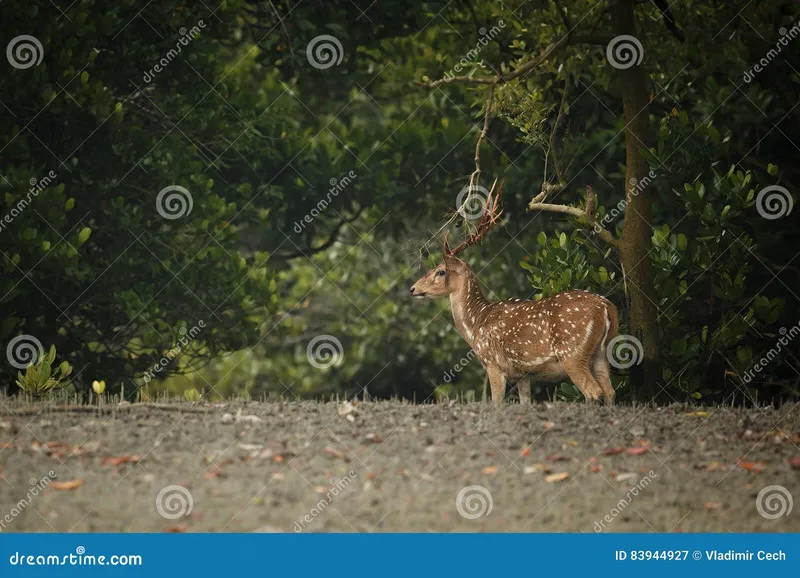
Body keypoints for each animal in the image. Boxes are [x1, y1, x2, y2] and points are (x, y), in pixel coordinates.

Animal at [412, 180, 620, 404]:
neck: (476, 323)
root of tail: (607, 308)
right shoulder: (523, 375)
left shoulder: (493, 364)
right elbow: (525, 402)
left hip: (572, 352)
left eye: (441, 271)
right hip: (601, 353)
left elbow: (496, 403)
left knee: (593, 391)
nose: (413, 288)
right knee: (610, 391)